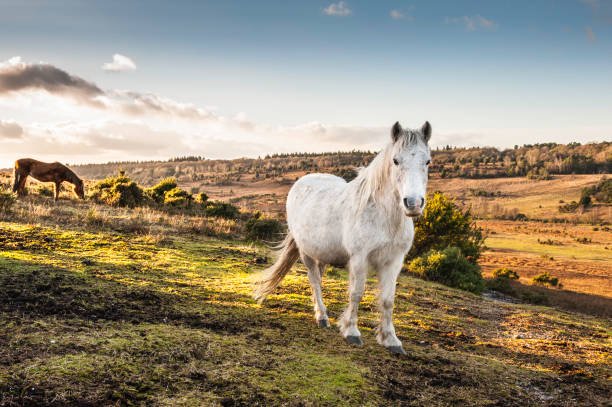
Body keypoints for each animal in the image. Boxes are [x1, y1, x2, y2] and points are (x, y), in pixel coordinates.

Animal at [256, 120, 432, 354]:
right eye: (396, 160)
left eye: (427, 161)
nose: (413, 203)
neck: (384, 215)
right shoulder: (359, 259)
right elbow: (356, 293)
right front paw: (351, 331)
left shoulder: (394, 261)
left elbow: (388, 300)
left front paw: (391, 340)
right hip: (306, 253)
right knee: (314, 280)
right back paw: (322, 317)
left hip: (323, 254)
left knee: (318, 278)